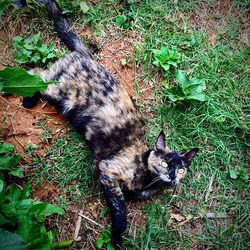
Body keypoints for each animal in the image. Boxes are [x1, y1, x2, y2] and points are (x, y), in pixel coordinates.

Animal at [14, 0, 199, 247]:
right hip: (58, 89)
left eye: (181, 169)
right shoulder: (108, 171)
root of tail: (86, 55)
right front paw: (117, 237)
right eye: (165, 162)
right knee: (34, 73)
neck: (149, 182)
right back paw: (26, 98)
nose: (172, 176)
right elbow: (121, 210)